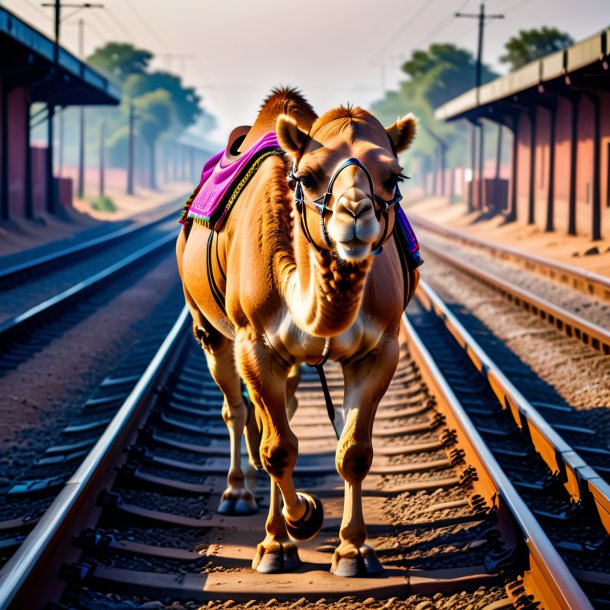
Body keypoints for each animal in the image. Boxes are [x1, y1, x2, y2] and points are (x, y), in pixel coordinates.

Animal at [173, 86, 416, 576]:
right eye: (305, 176)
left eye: (394, 176)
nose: (354, 214)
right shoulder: (255, 344)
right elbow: (277, 449)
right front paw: (290, 530)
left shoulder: (380, 349)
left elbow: (353, 452)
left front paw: (353, 551)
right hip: (209, 329)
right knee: (237, 410)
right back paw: (239, 494)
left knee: (284, 404)